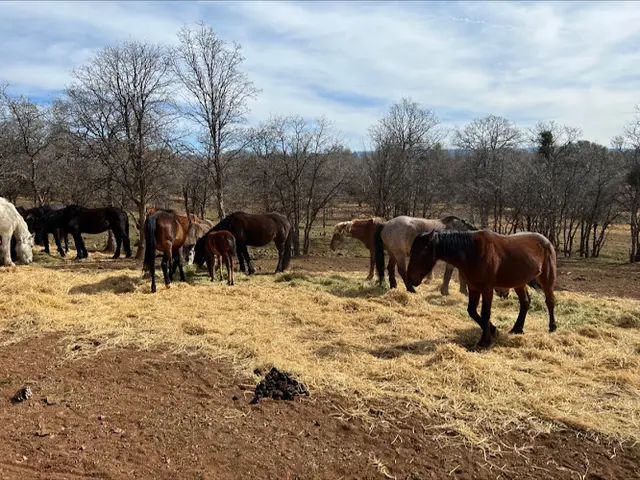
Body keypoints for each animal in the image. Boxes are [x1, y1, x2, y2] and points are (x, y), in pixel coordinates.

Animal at [407, 229, 557, 348]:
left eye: (421, 253)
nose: (411, 279)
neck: (472, 253)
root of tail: (546, 241)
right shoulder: (473, 288)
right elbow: (472, 311)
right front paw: (494, 330)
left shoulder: (487, 289)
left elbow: (485, 312)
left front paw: (485, 341)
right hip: (519, 282)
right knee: (525, 302)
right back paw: (517, 329)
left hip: (547, 278)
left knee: (550, 301)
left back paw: (552, 327)